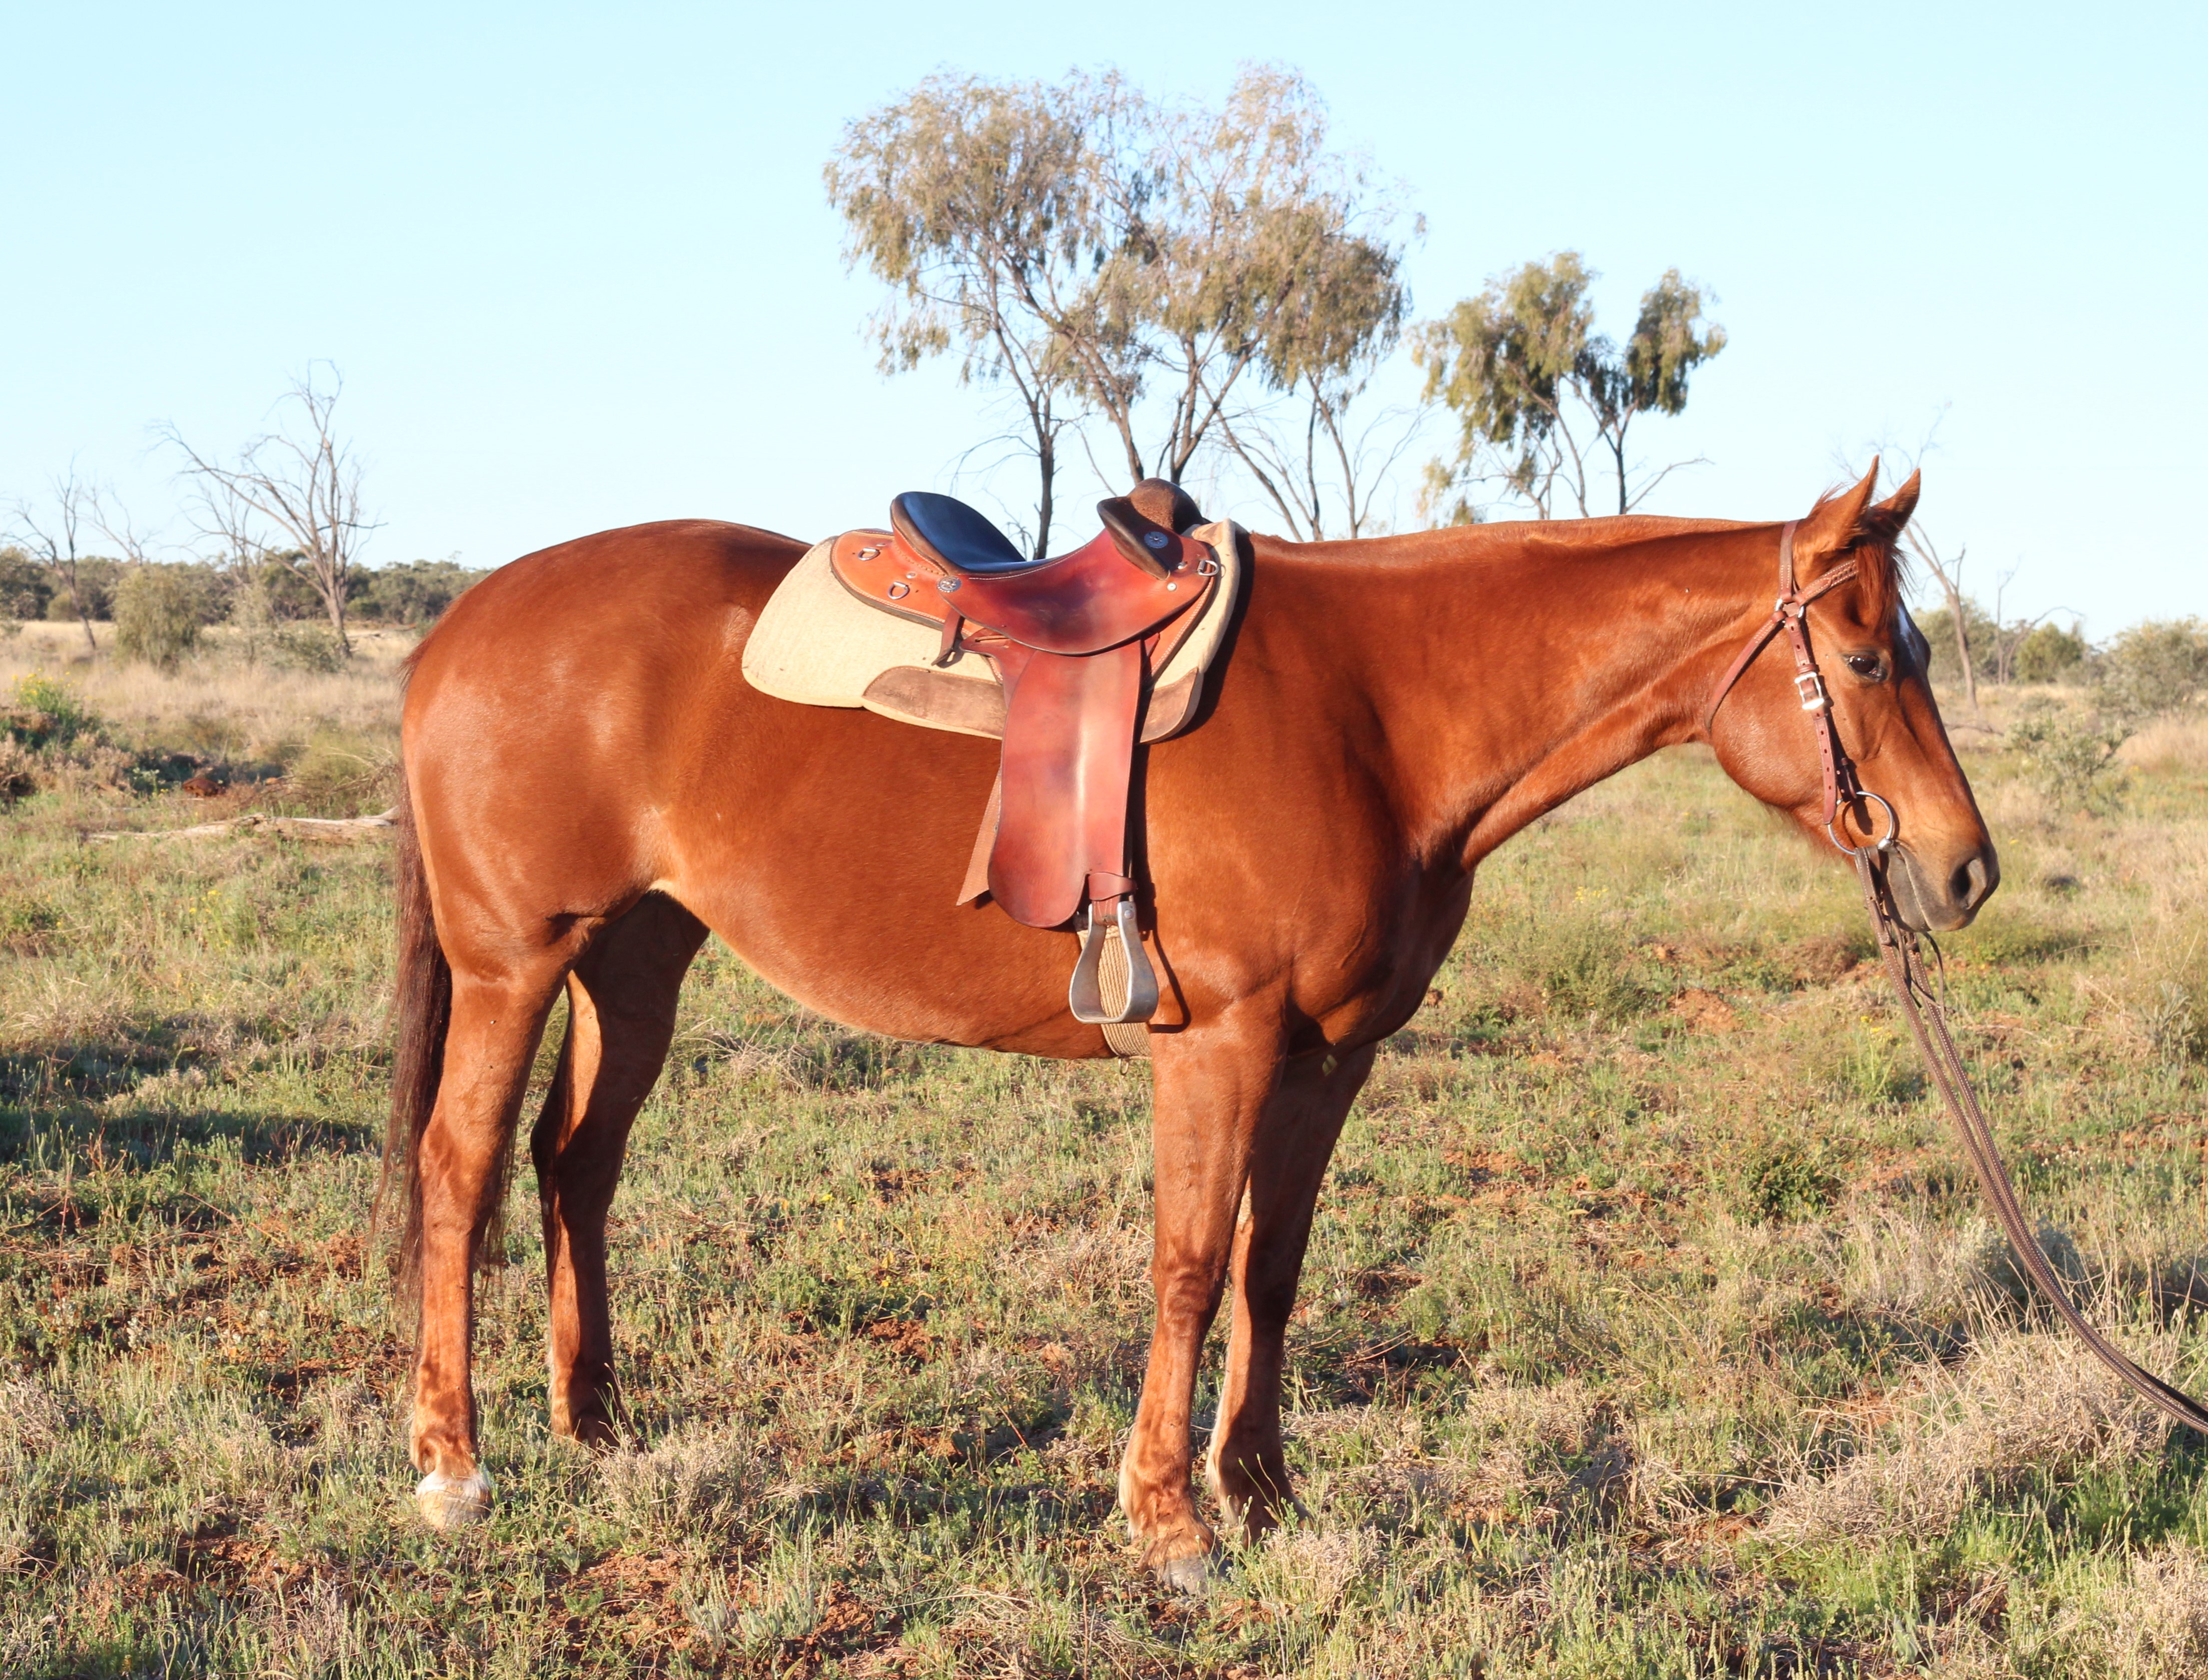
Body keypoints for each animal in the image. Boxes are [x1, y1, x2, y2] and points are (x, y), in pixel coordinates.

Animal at [381, 462, 1995, 1588]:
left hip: (635, 960)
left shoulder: (1329, 1055)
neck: (1375, 713)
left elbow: (1271, 1269)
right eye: (1869, 661)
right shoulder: (1214, 1045)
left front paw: (1263, 1490)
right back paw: (453, 1467)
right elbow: (1187, 1266)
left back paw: (595, 1427)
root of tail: (458, 625)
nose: (1963, 867)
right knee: (459, 1172)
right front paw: (1166, 1521)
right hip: (513, 965)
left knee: (575, 1164)